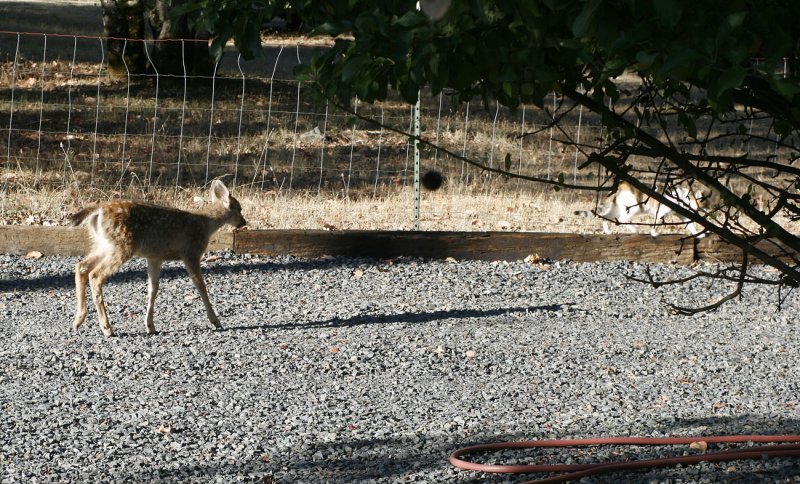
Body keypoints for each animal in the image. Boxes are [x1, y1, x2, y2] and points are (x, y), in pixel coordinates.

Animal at [72, 179, 247, 336]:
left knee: (81, 266)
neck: (206, 225)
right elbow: (200, 286)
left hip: (104, 244)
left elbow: (153, 289)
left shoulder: (155, 257)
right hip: (123, 245)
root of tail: (98, 210)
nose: (244, 222)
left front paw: (150, 326)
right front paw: (216, 321)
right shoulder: (191, 253)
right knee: (95, 275)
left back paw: (78, 320)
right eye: (239, 209)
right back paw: (107, 328)